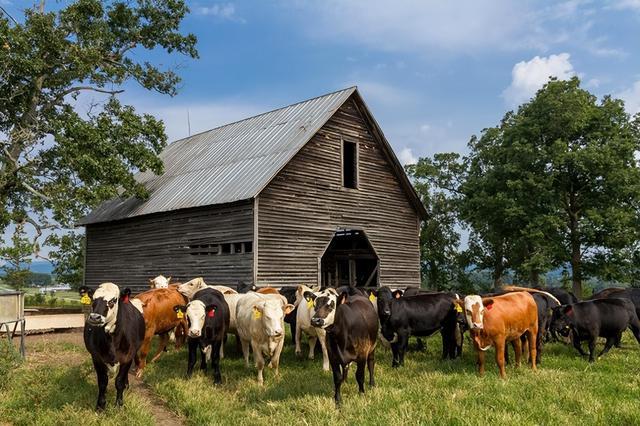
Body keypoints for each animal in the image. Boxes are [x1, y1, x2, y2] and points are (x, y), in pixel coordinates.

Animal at [83, 282, 144, 410]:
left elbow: (119, 381)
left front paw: (119, 404)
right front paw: (100, 405)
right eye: (93, 299)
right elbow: (102, 382)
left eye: (113, 300)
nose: (95, 317)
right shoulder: (96, 358)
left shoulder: (127, 357)